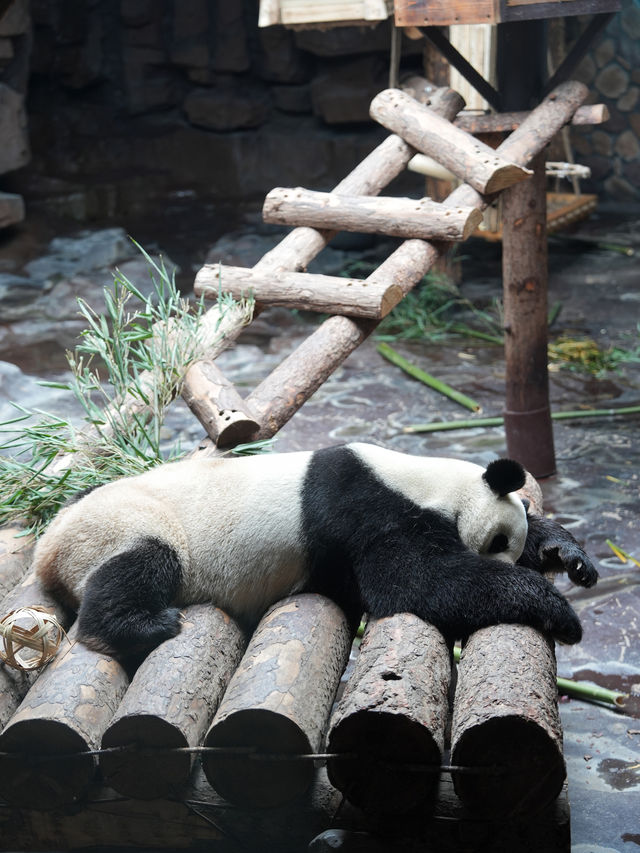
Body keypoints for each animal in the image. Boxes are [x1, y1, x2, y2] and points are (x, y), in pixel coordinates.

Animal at [32, 442, 596, 664]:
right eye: (498, 542)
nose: (508, 560)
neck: (427, 480)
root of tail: (46, 548)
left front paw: (567, 557)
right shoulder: (367, 512)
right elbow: (414, 584)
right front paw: (554, 608)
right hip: (122, 524)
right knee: (140, 565)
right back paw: (145, 625)